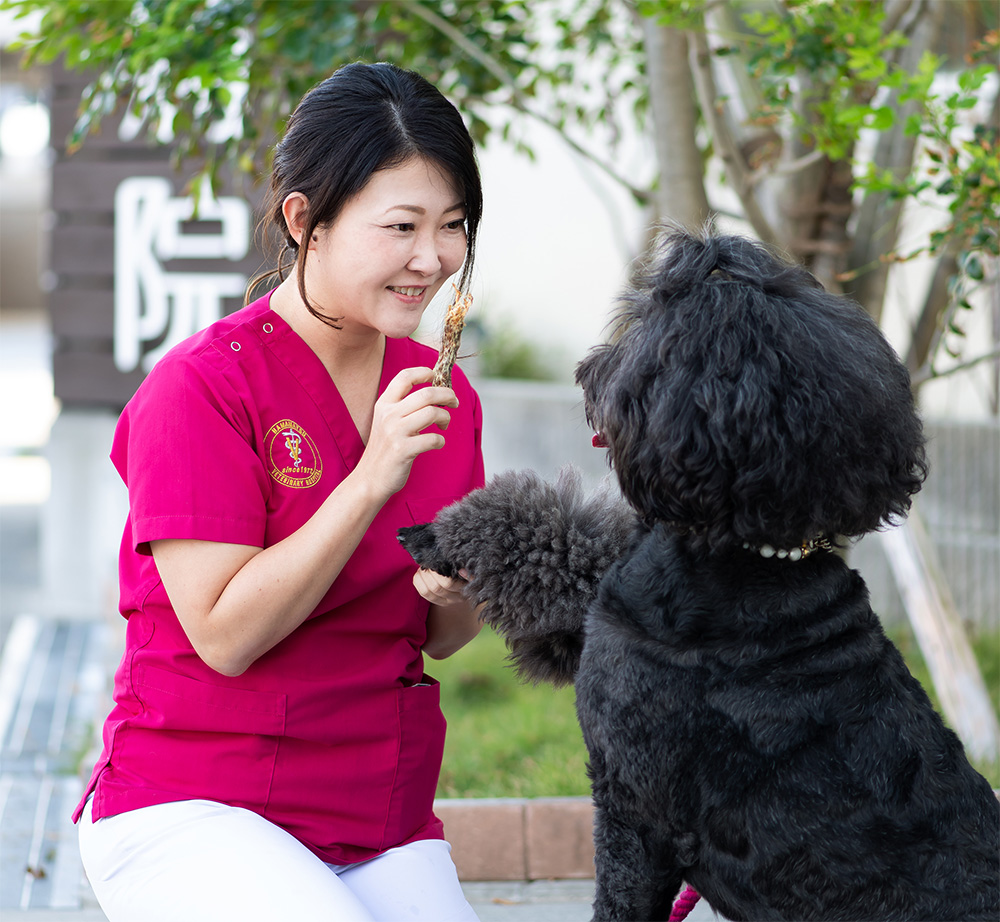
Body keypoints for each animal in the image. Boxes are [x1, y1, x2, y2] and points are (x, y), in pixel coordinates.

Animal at [400, 226, 1000, 916]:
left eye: (652, 325)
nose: (590, 367)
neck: (744, 554)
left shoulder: (633, 810)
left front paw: (433, 534)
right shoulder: (615, 590)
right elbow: (556, 532)